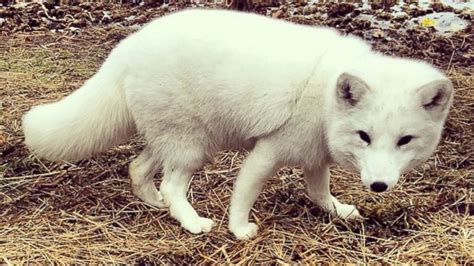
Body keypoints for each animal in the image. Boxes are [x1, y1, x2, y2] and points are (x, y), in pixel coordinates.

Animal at [22, 9, 452, 239]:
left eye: (405, 140)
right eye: (365, 136)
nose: (378, 186)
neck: (325, 99)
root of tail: (126, 47)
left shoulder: (315, 155)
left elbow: (318, 191)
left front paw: (338, 211)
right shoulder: (269, 150)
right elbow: (244, 193)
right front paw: (239, 229)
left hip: (173, 138)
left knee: (138, 168)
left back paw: (156, 204)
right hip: (193, 146)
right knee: (172, 184)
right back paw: (191, 222)